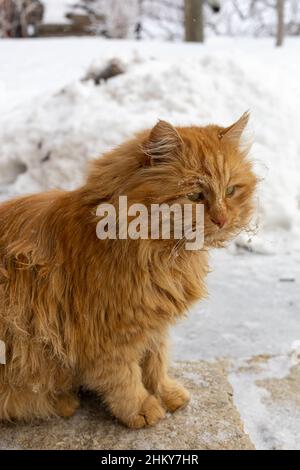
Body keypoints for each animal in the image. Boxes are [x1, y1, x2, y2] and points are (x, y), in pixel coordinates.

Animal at [0, 112, 256, 428]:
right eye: (195, 196)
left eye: (231, 191)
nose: (222, 220)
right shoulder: (107, 332)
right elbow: (124, 378)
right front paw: (140, 409)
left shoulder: (153, 324)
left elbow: (155, 363)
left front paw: (166, 393)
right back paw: (62, 402)